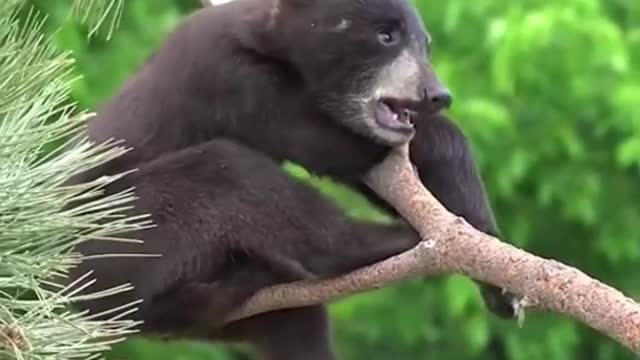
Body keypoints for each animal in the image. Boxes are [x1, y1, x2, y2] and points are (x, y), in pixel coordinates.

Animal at [65, 0, 516, 358]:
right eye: (386, 35)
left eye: (426, 44)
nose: (437, 94)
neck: (264, 40)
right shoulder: (232, 79)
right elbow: (331, 145)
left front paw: (497, 279)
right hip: (119, 235)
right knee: (229, 172)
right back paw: (392, 242)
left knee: (296, 325)